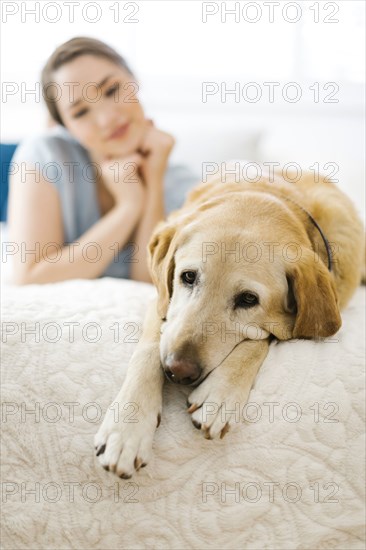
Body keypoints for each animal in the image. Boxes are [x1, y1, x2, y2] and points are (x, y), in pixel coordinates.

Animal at [93, 164, 364, 478]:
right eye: (188, 276)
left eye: (248, 299)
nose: (177, 371)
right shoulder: (162, 304)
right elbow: (149, 349)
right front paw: (127, 428)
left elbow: (263, 337)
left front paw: (220, 396)